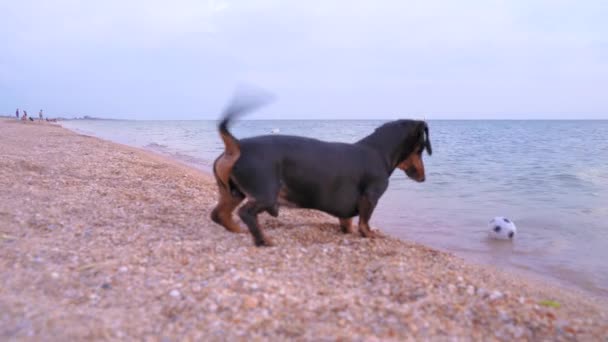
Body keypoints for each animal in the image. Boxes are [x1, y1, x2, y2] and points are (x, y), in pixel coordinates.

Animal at [211, 96, 430, 246]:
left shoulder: (347, 212)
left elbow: (348, 223)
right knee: (245, 213)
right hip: (266, 195)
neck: (377, 151)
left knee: (218, 214)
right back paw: (263, 240)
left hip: (233, 193)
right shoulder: (370, 197)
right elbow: (364, 223)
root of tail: (237, 145)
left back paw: (238, 231)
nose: (423, 178)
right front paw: (369, 235)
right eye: (420, 149)